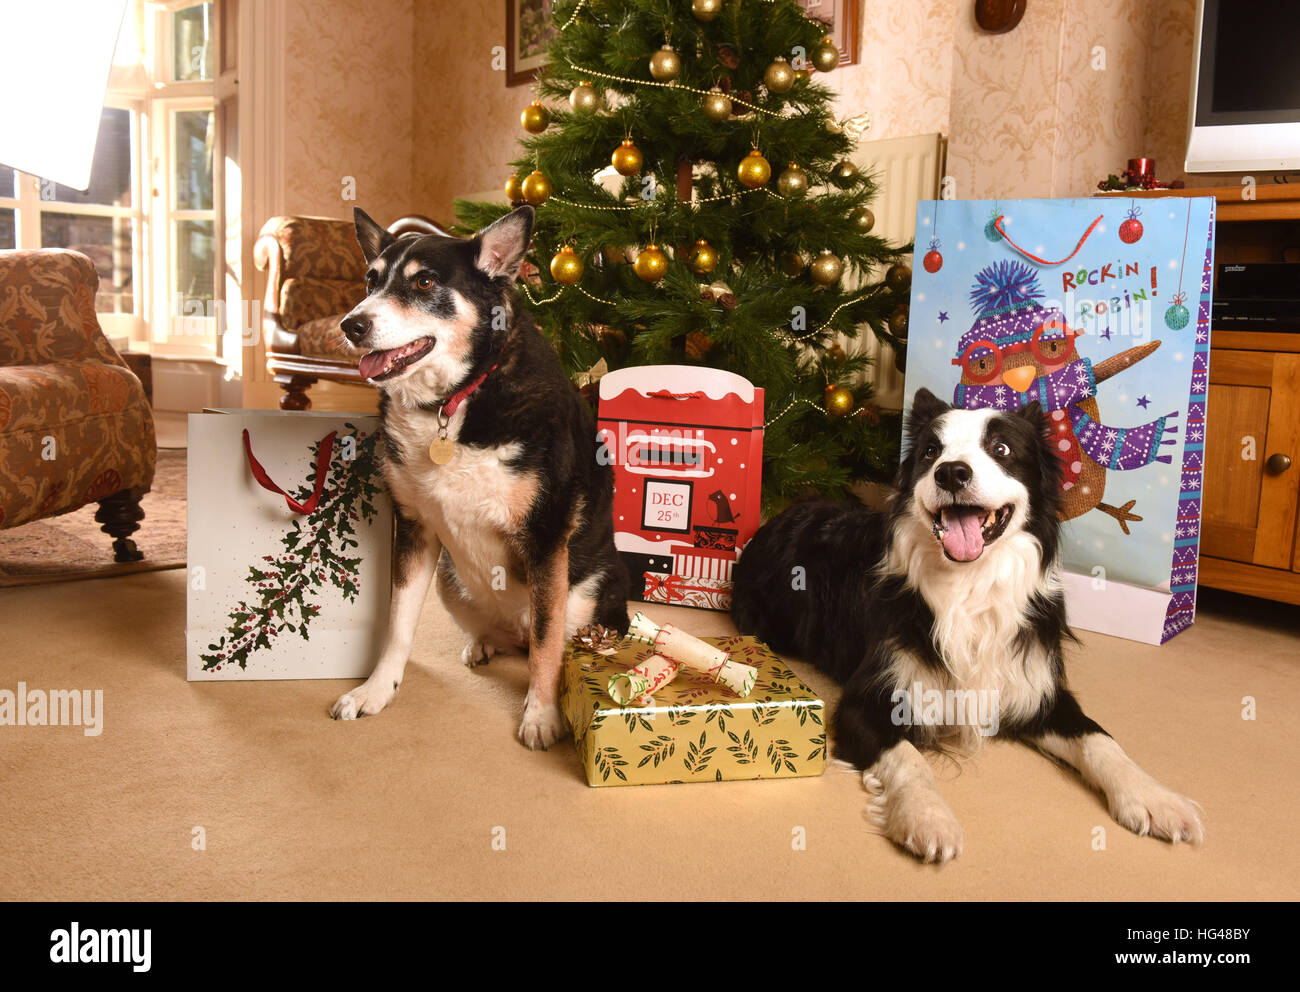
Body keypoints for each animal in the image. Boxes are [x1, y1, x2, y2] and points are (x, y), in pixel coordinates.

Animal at [327, 208, 626, 743]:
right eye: (370, 280)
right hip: (451, 580)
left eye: (424, 282)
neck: (455, 401)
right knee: (507, 638)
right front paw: (376, 690)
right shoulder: (415, 527)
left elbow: (548, 643)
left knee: (546, 638)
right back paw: (484, 642)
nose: (352, 324)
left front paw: (540, 714)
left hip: (588, 595)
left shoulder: (546, 537)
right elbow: (398, 624)